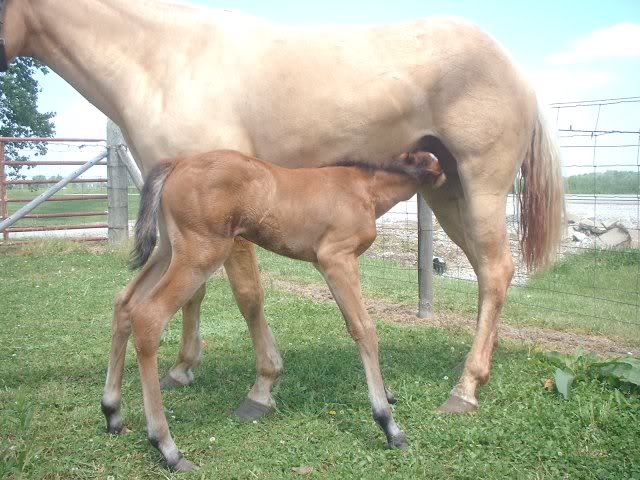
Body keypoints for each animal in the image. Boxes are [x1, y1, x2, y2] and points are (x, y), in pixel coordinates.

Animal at [104, 149, 444, 470]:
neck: (363, 188)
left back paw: (112, 413)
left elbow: (355, 325)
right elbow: (364, 329)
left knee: (124, 303)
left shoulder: (324, 264)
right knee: (148, 316)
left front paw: (387, 396)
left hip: (168, 250)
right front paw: (389, 425)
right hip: (200, 255)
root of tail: (177, 163)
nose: (445, 180)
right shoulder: (337, 258)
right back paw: (167, 448)